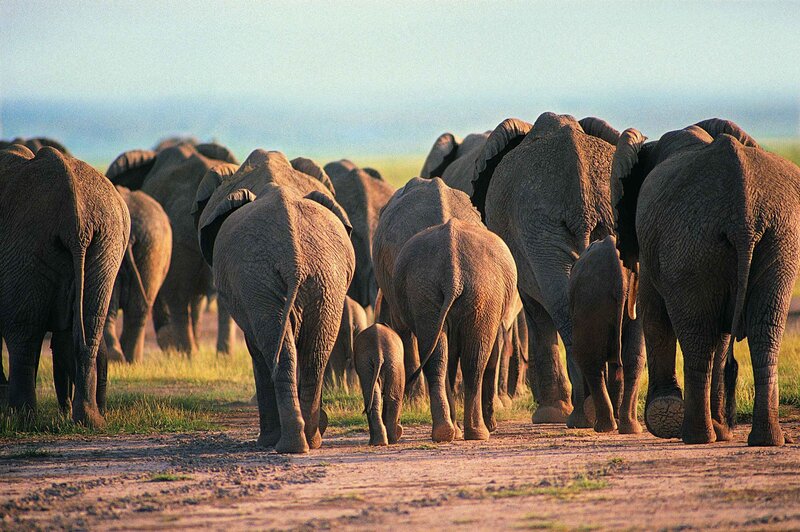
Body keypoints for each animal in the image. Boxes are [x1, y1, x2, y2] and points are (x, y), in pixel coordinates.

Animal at [0, 145, 129, 426]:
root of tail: (76, 220)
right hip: (108, 243)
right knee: (90, 324)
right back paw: (89, 420)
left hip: (25, 246)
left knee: (24, 331)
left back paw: (22, 419)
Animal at [197, 149, 353, 453]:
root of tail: (293, 258)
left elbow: (255, 350)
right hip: (317, 279)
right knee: (313, 353)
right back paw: (304, 442)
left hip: (268, 277)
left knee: (279, 351)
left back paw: (288, 443)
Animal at [393, 218, 518, 442]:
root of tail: (453, 273)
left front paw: (456, 430)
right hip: (483, 293)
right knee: (475, 361)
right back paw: (479, 433)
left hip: (425, 291)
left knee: (438, 360)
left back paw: (444, 433)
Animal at [470, 113, 637, 429]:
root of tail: (582, 196)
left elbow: (536, 314)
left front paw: (549, 415)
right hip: (577, 223)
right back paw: (604, 417)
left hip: (539, 227)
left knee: (560, 309)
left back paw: (583, 416)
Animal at [611, 119, 800, 446]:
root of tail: (743, 209)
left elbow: (653, 311)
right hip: (773, 239)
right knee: (762, 330)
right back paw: (756, 437)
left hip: (694, 241)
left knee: (699, 334)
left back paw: (694, 434)